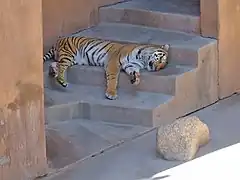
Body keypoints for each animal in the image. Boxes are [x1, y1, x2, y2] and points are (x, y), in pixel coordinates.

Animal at [43, 35, 171, 100]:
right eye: (162, 59)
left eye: (162, 67)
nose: (157, 69)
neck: (142, 60)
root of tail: (58, 41)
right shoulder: (113, 62)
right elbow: (113, 79)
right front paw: (111, 93)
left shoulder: (131, 65)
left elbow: (133, 72)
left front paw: (136, 79)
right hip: (68, 55)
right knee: (61, 67)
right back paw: (62, 81)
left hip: (70, 59)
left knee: (55, 64)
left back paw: (53, 71)